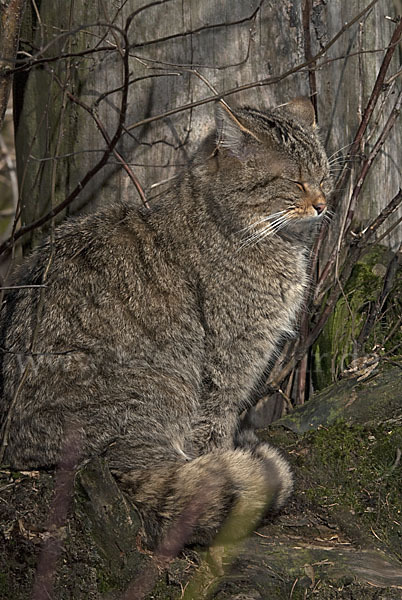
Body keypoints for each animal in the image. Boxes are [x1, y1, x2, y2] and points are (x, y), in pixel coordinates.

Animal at [0, 97, 332, 548]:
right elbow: (213, 430)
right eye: (295, 182)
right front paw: (222, 460)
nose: (322, 204)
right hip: (160, 386)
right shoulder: (228, 366)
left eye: (324, 176)